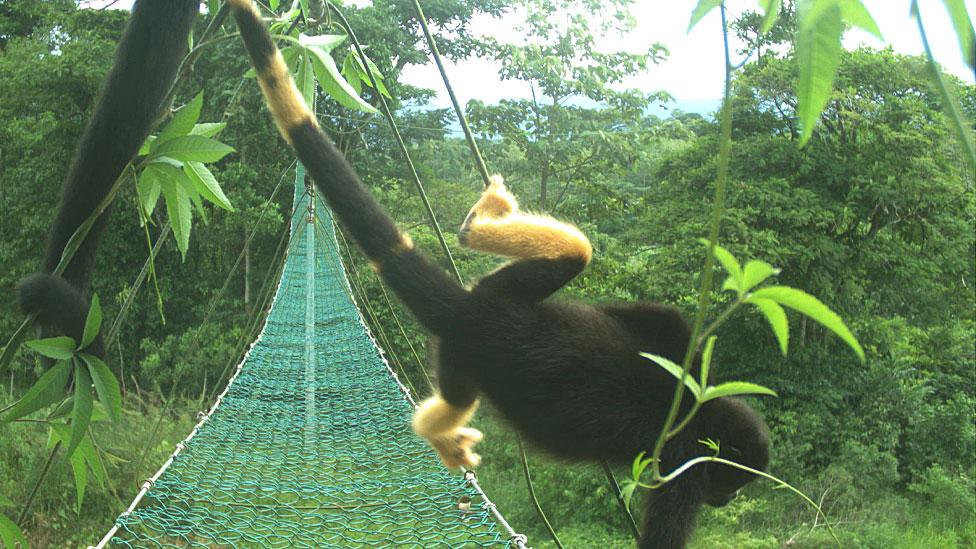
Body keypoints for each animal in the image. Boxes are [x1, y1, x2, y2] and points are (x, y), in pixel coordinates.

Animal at [227, 2, 769, 547]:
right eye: (730, 485)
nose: (726, 501)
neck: (702, 414)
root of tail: (469, 310)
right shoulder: (685, 467)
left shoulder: (682, 363)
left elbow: (660, 319)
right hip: (461, 358)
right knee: (458, 396)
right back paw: (436, 432)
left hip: (499, 293)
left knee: (576, 253)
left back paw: (476, 226)